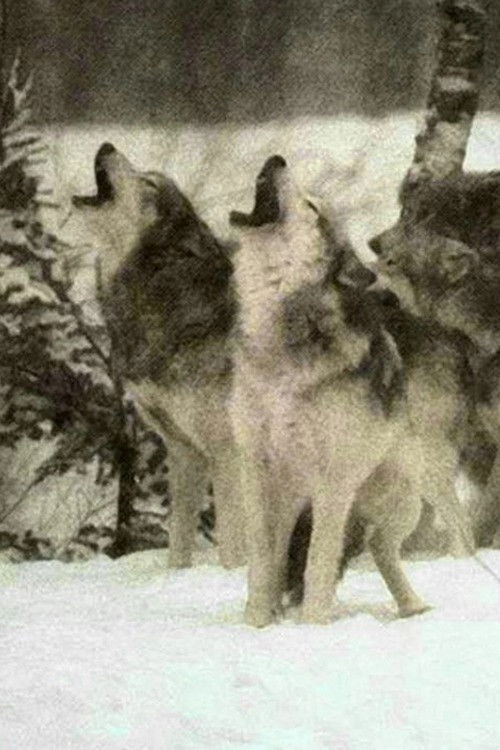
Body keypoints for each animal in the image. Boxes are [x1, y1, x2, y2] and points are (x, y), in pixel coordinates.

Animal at [71, 143, 245, 569]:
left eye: (148, 183)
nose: (106, 145)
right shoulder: (184, 452)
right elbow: (178, 543)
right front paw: (176, 578)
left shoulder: (229, 456)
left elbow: (233, 551)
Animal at [229, 155, 431, 626]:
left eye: (312, 207)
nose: (277, 158)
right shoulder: (255, 470)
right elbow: (261, 562)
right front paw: (256, 625)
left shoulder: (333, 481)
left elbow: (319, 561)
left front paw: (312, 627)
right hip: (295, 503)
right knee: (288, 556)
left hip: (403, 502)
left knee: (380, 548)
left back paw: (413, 607)